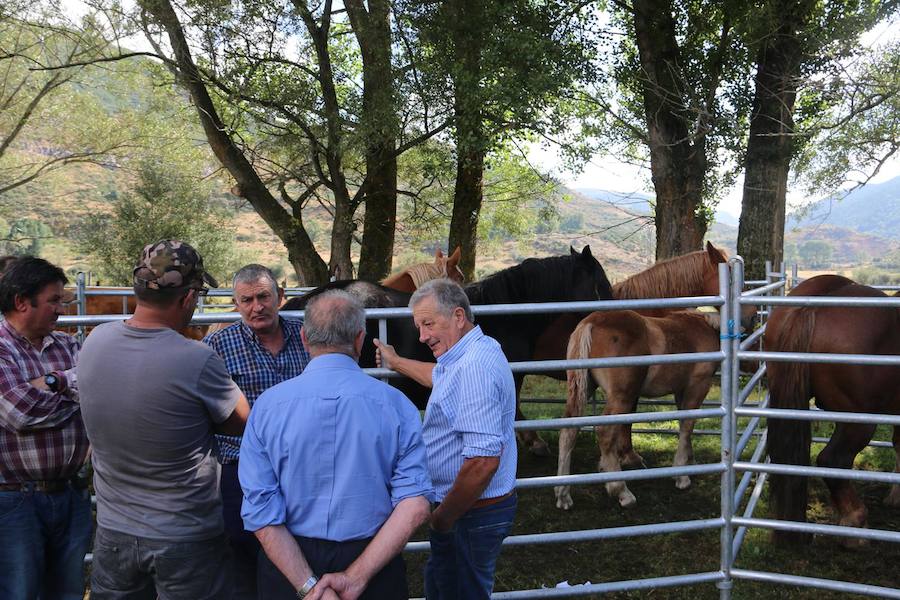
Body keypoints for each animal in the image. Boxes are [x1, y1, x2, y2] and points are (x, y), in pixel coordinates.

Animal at [552, 310, 720, 510]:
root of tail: (591, 322)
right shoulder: (698, 386)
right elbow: (687, 426)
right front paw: (682, 475)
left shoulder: (681, 390)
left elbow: (683, 425)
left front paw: (690, 461)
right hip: (622, 396)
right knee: (605, 431)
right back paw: (622, 492)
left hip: (582, 388)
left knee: (569, 429)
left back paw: (563, 494)